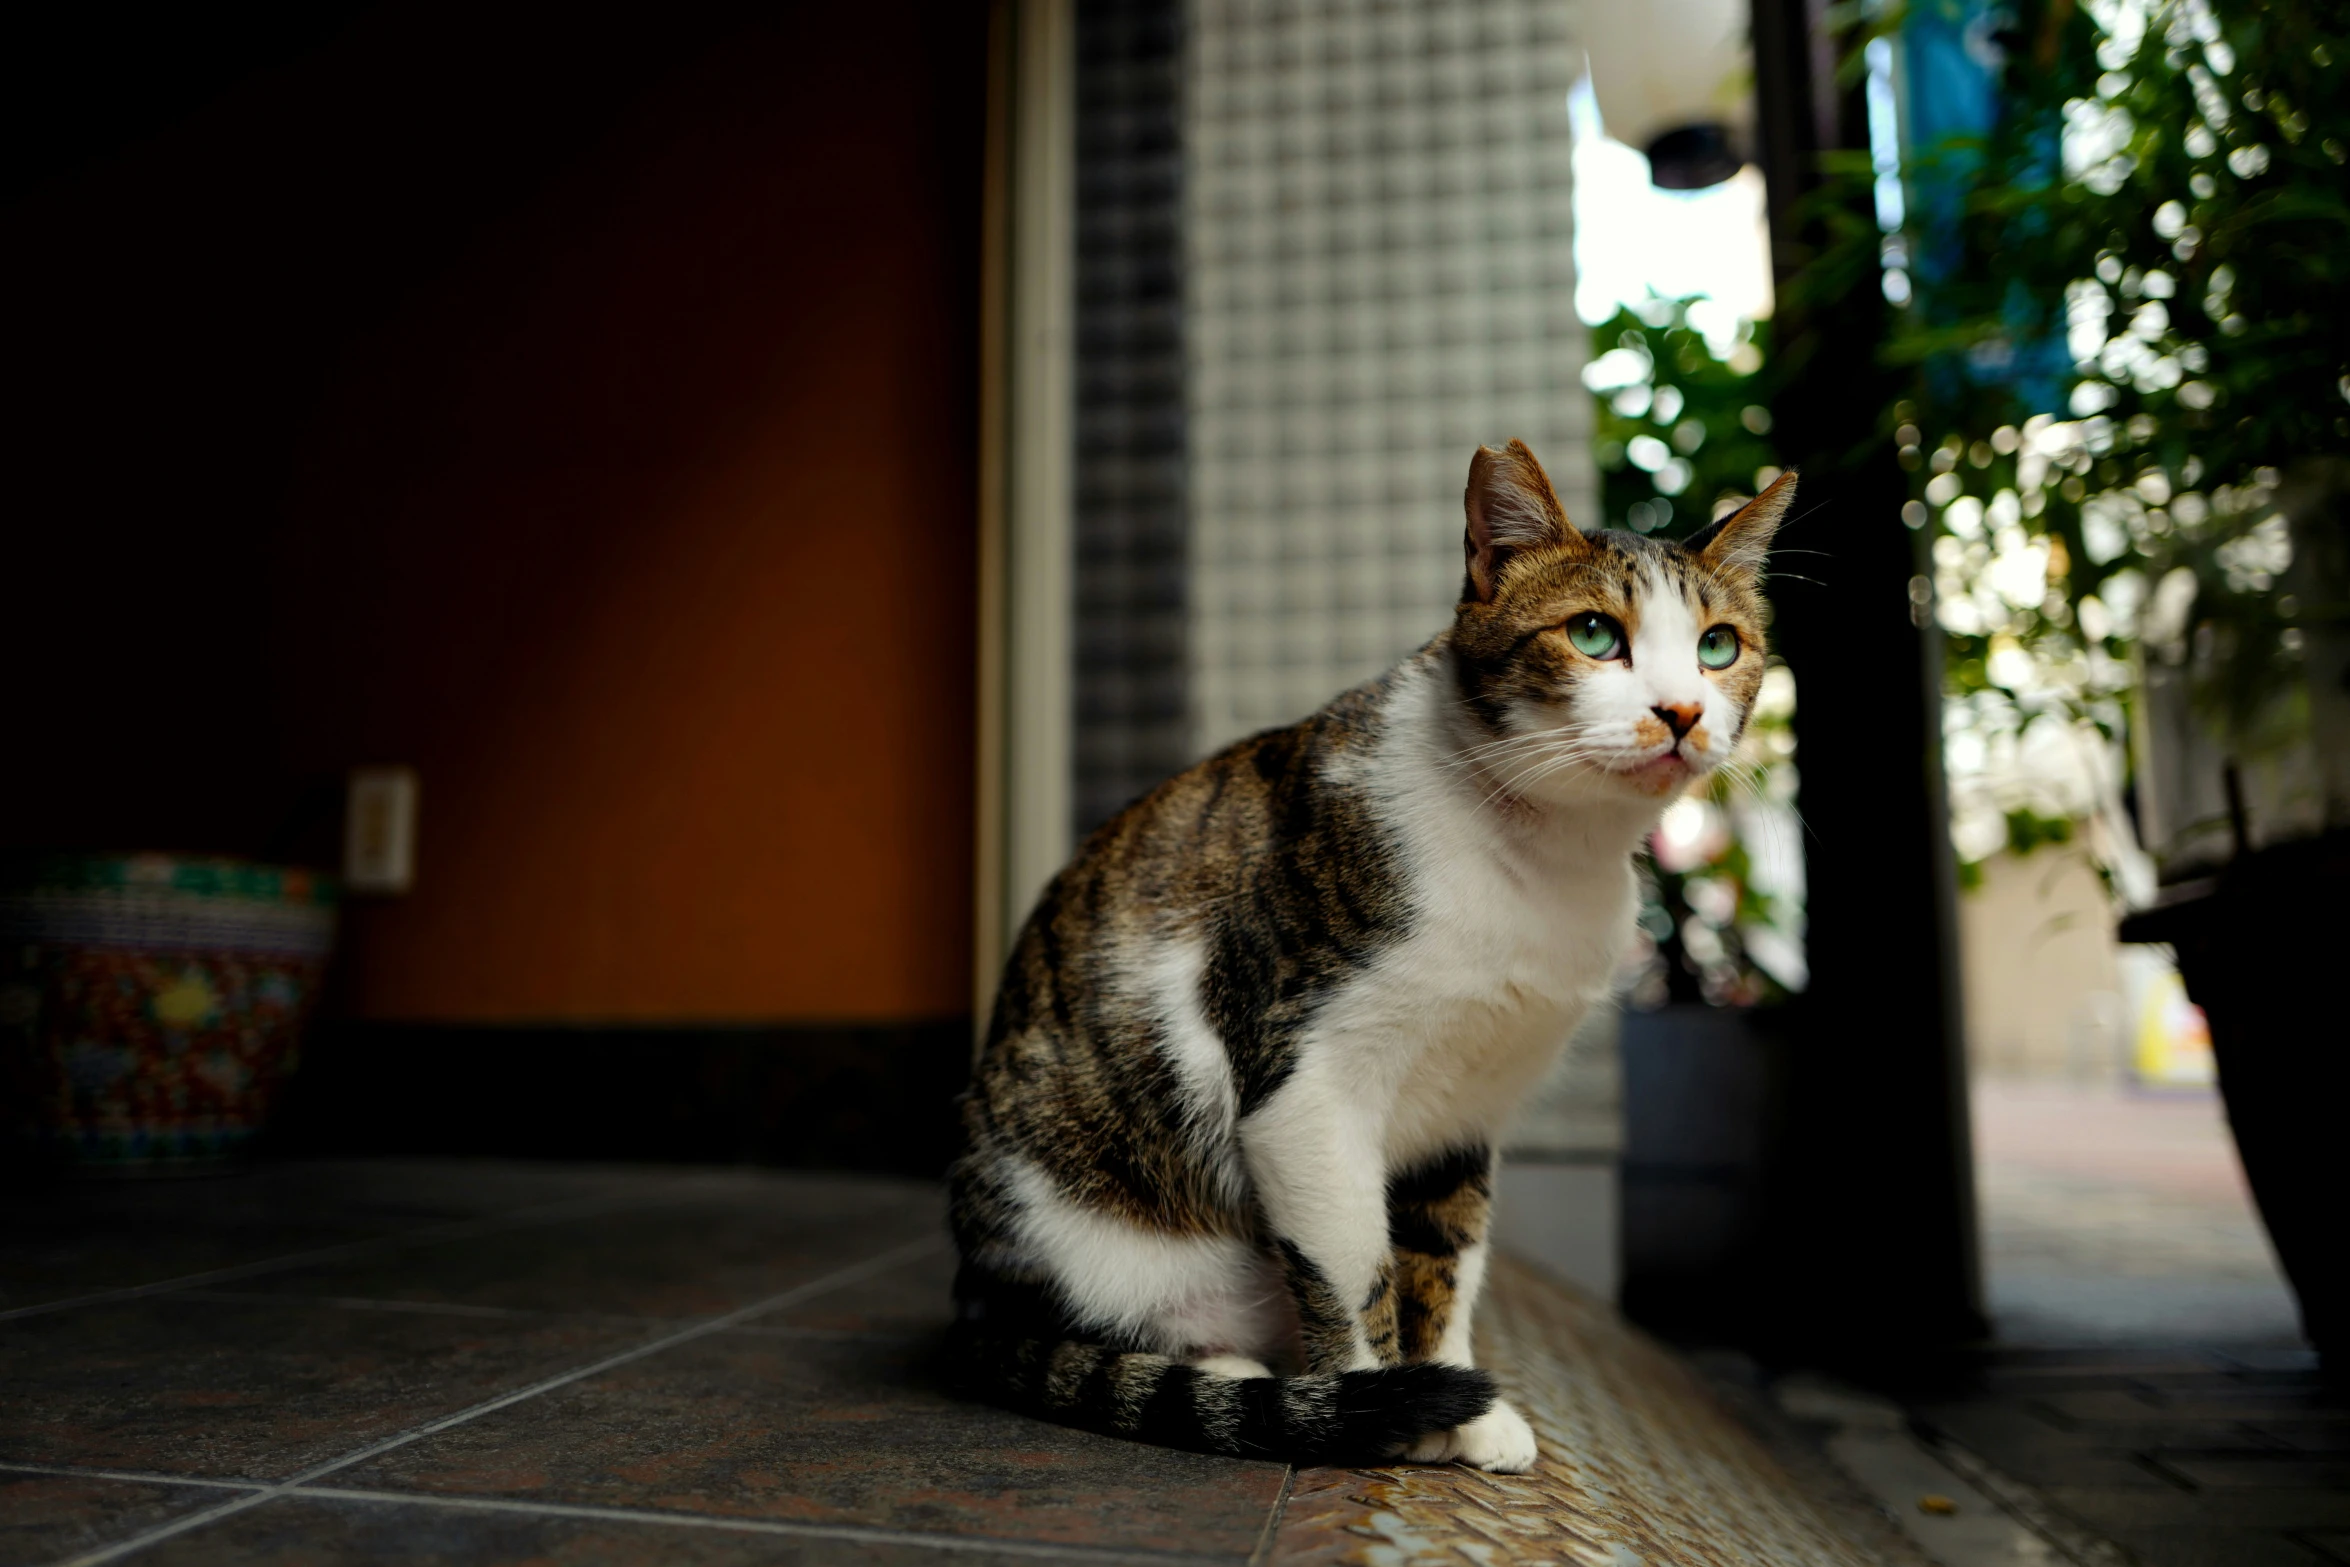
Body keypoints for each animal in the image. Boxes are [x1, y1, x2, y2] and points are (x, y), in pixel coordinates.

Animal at [944, 439, 1785, 1475]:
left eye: (1720, 646)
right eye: (1594, 634)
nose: (1681, 711)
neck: (1541, 860)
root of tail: (971, 1299)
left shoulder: (1468, 1107)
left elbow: (1446, 1255)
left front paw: (1460, 1399)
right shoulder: (1304, 1088)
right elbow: (1352, 1270)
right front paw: (1379, 1405)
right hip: (1077, 1220)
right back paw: (1240, 1382)